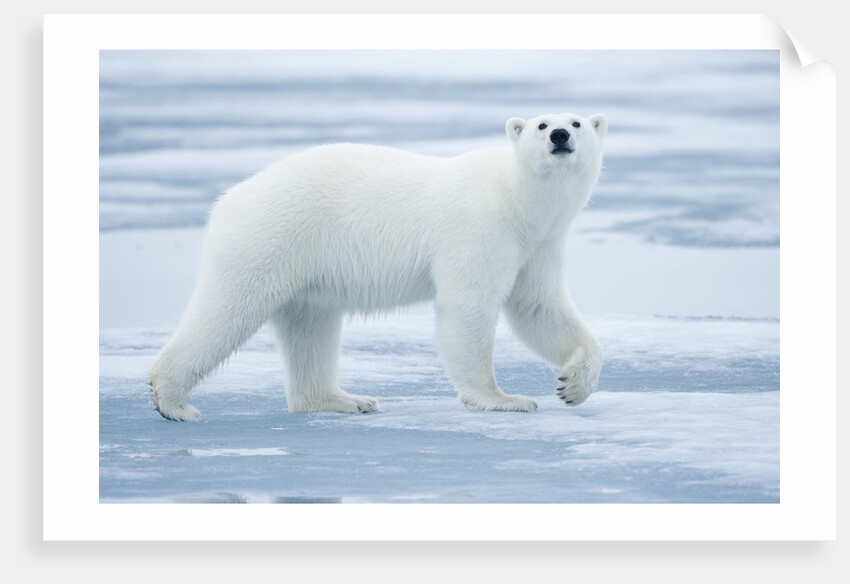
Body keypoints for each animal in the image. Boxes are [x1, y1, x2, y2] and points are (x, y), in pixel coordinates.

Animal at [149, 112, 607, 421]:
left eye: (578, 122)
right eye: (541, 124)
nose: (561, 135)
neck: (517, 200)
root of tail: (229, 198)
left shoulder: (539, 244)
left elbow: (538, 308)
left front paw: (572, 385)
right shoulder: (480, 227)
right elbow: (469, 307)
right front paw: (503, 399)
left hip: (303, 268)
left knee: (310, 328)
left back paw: (343, 399)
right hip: (268, 237)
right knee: (227, 310)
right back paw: (172, 400)